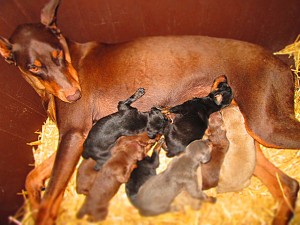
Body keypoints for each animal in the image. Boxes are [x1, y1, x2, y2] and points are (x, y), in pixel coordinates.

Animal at [0, 0, 298, 225]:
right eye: (34, 67)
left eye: (58, 54)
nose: (75, 95)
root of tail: (281, 62)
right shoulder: (77, 136)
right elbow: (33, 177)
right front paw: (33, 200)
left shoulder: (74, 134)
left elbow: (49, 202)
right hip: (243, 128)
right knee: (287, 184)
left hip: (265, 126)